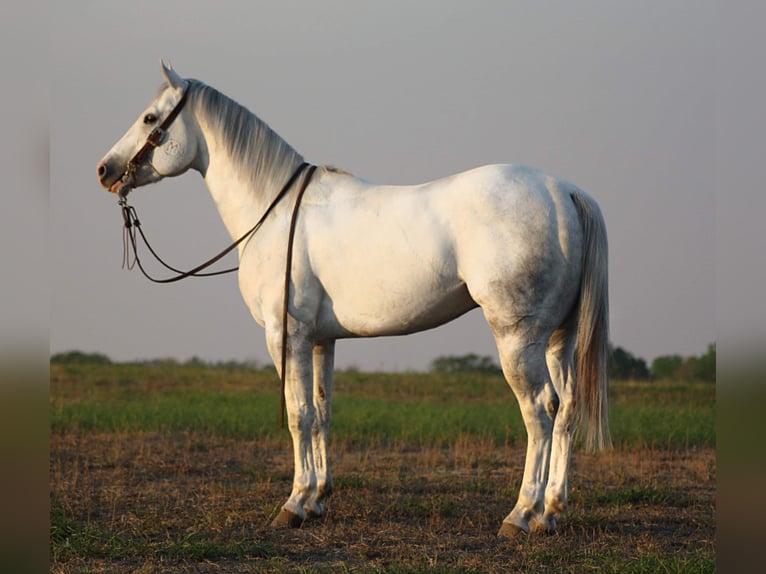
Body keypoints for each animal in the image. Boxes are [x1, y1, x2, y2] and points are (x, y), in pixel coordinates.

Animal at [97, 63, 612, 540]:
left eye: (150, 118)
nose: (105, 170)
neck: (274, 210)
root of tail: (567, 193)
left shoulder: (285, 335)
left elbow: (297, 414)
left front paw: (293, 505)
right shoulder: (321, 340)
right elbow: (321, 412)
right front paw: (317, 499)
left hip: (517, 339)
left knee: (541, 411)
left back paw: (521, 515)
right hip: (557, 338)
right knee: (567, 410)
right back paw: (550, 513)